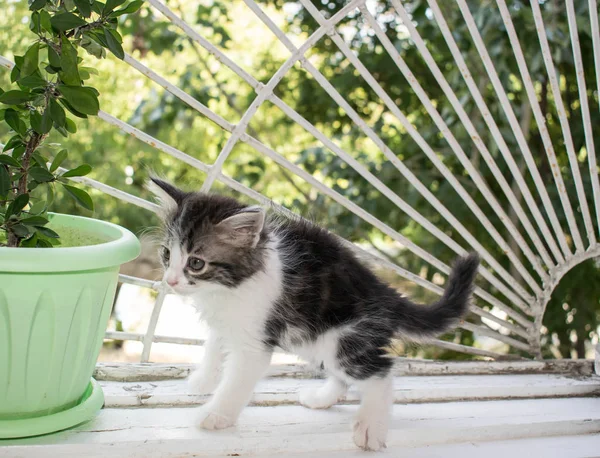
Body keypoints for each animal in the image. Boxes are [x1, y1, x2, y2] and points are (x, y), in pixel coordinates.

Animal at [149, 178, 478, 450]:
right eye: (166, 254)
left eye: (196, 263)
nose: (171, 281)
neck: (229, 287)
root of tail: (384, 291)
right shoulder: (225, 321)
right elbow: (214, 347)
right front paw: (203, 381)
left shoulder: (256, 339)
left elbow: (236, 381)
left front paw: (216, 414)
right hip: (315, 339)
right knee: (345, 376)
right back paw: (322, 399)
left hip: (344, 338)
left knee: (380, 373)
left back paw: (370, 427)